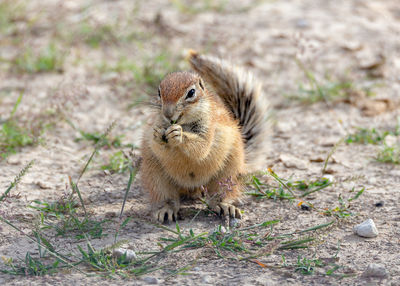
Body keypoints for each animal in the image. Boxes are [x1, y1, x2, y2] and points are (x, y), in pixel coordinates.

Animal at [139, 50, 270, 222]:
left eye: (191, 92)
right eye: (159, 92)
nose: (168, 114)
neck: (184, 124)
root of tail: (193, 187)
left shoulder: (208, 127)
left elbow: (201, 147)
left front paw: (179, 135)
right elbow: (156, 145)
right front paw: (157, 134)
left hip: (228, 173)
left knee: (219, 196)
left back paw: (225, 206)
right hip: (156, 175)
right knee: (167, 197)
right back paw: (166, 209)